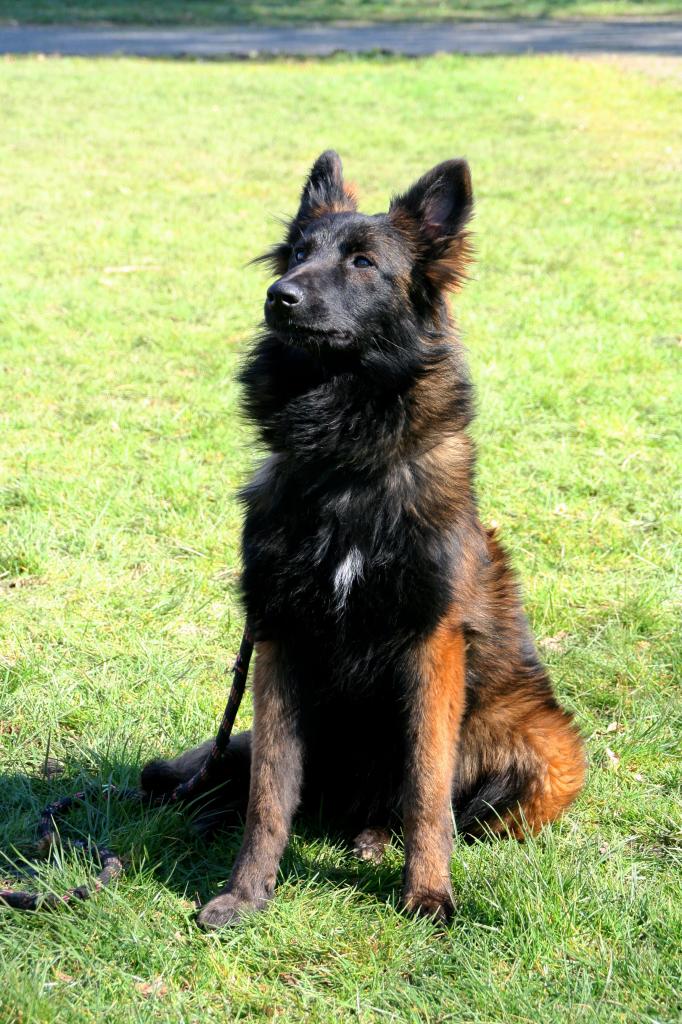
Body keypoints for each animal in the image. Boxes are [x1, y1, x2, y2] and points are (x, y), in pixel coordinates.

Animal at [141, 152, 586, 929]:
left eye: (362, 262)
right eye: (296, 254)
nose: (278, 297)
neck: (345, 462)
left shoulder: (429, 643)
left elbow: (428, 789)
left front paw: (428, 893)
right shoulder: (279, 636)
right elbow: (269, 796)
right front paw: (245, 894)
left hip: (542, 754)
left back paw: (377, 837)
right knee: (219, 775)